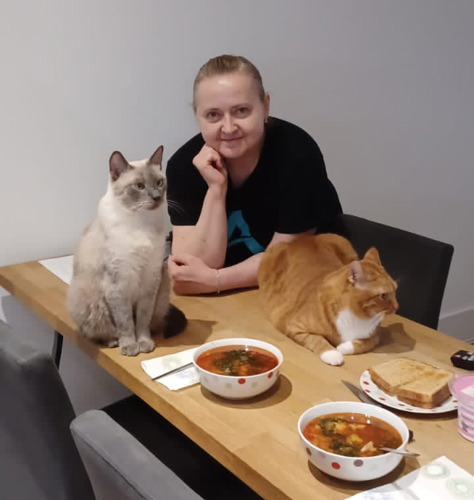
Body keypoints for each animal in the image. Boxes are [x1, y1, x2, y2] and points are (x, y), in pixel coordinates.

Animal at [67, 145, 186, 356]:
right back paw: (113, 341)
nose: (157, 197)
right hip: (88, 297)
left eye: (159, 182)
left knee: (154, 323)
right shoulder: (117, 283)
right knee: (98, 332)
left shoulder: (150, 279)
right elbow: (125, 322)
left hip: (163, 286)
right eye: (139, 186)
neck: (140, 223)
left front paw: (144, 344)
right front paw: (130, 346)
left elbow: (142, 321)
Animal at [258, 232, 398, 366]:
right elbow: (317, 339)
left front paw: (342, 347)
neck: (356, 315)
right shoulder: (294, 326)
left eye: (395, 290)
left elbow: (362, 343)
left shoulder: (375, 336)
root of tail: (303, 239)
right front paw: (332, 353)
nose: (397, 307)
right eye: (384, 295)